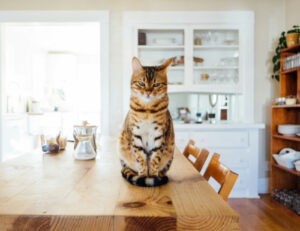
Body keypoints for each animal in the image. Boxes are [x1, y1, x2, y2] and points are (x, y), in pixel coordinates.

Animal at [119, 56, 176, 187]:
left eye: (156, 84)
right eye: (141, 83)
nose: (148, 92)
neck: (147, 111)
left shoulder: (159, 136)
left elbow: (155, 159)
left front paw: (153, 176)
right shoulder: (136, 135)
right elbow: (140, 159)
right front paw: (143, 176)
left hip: (170, 152)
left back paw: (159, 176)